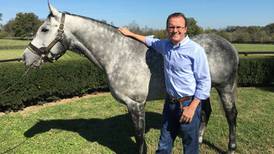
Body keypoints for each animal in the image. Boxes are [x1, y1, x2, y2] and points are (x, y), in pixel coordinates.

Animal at [22, 3, 239, 154]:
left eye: (44, 29)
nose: (26, 57)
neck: (118, 53)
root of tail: (228, 45)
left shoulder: (135, 104)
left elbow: (139, 138)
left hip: (225, 87)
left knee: (231, 115)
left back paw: (231, 147)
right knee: (205, 112)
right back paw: (200, 140)